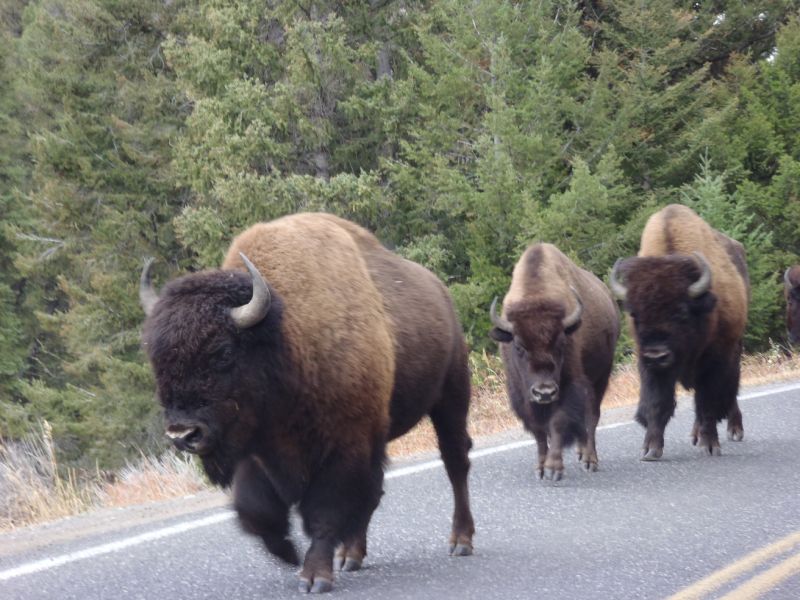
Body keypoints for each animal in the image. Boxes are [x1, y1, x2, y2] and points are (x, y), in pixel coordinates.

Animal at [140, 213, 474, 593]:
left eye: (222, 352)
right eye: (155, 357)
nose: (182, 434)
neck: (286, 335)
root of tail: (440, 291)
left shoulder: (341, 448)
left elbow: (324, 510)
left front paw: (314, 576)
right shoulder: (257, 448)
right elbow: (254, 508)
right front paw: (287, 552)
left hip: (450, 398)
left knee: (455, 463)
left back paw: (460, 541)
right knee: (375, 491)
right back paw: (352, 555)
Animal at [489, 243, 620, 480]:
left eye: (561, 344)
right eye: (519, 347)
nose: (544, 392)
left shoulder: (569, 387)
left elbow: (558, 422)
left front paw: (553, 468)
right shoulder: (522, 394)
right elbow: (539, 432)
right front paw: (541, 468)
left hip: (600, 378)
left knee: (592, 416)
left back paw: (589, 460)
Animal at [610, 204, 749, 460]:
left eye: (680, 312)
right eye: (635, 314)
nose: (657, 355)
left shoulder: (713, 361)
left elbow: (708, 402)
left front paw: (710, 446)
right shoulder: (649, 366)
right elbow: (657, 402)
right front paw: (650, 450)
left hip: (735, 348)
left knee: (730, 390)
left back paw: (734, 431)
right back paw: (695, 435)